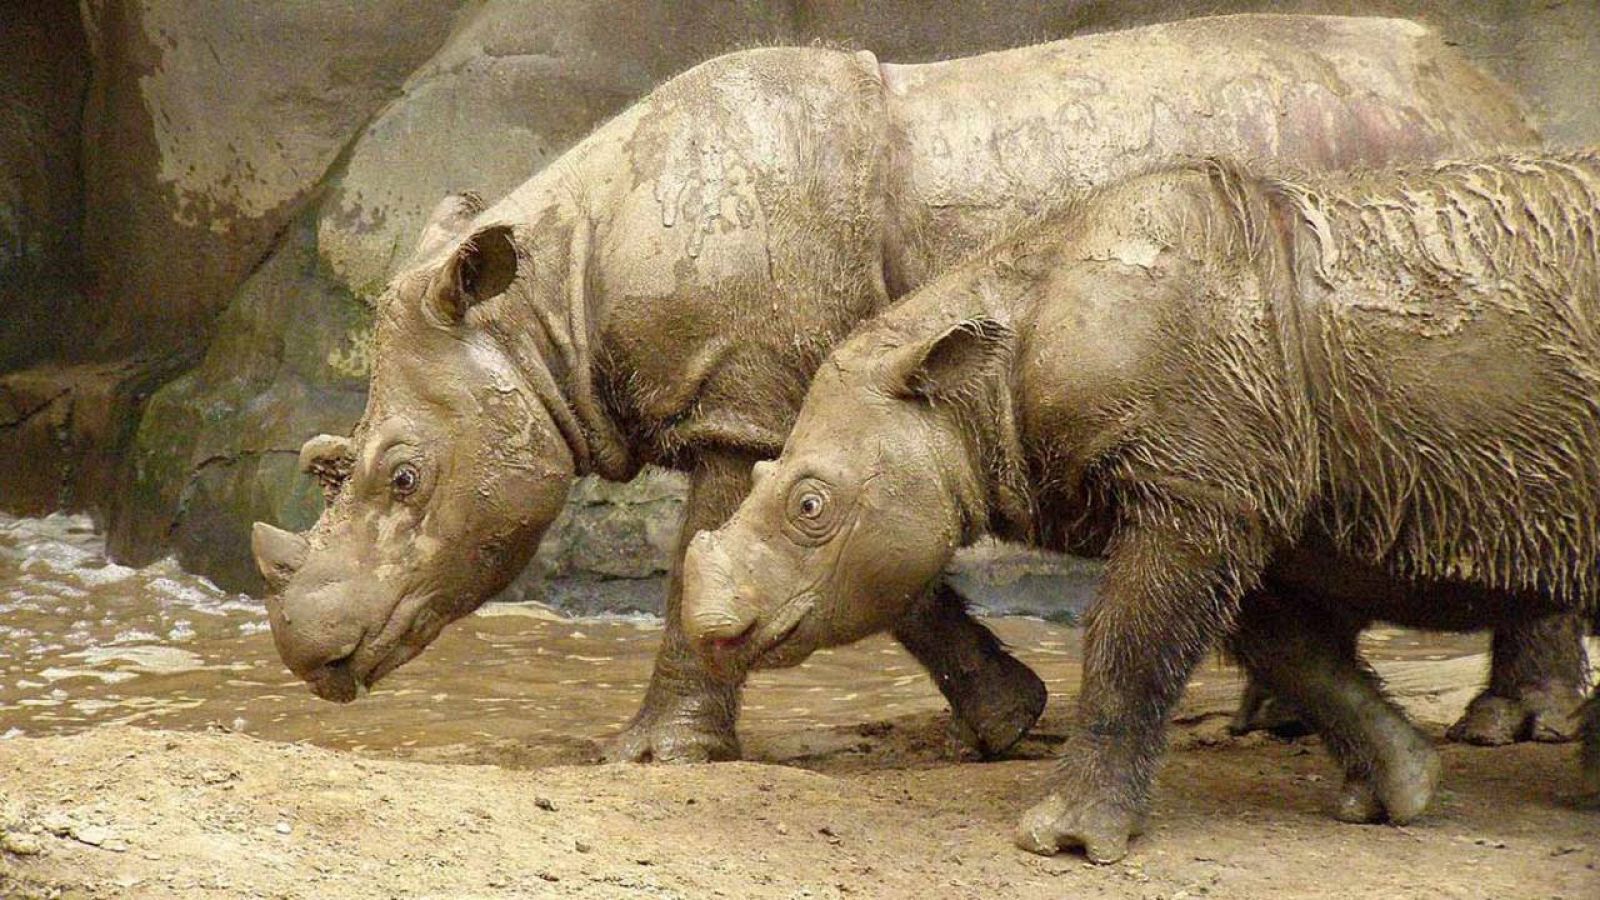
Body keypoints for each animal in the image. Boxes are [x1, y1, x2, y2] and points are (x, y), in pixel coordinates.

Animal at [249, 12, 1574, 755]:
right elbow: (880, 572)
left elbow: (709, 557)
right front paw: (1004, 721)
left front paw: (649, 755)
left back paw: (1509, 728)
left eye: (400, 477)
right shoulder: (838, 401)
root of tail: (1503, 95)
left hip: (1456, 218)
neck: (547, 310)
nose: (308, 657)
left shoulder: (751, 394)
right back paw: (1276, 721)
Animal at [681, 150, 1600, 858]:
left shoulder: (1194, 493)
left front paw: (1063, 842)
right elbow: (1290, 649)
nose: (709, 630)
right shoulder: (1234, 491)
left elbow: (1130, 646)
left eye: (810, 506)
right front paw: (1398, 792)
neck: (972, 382)